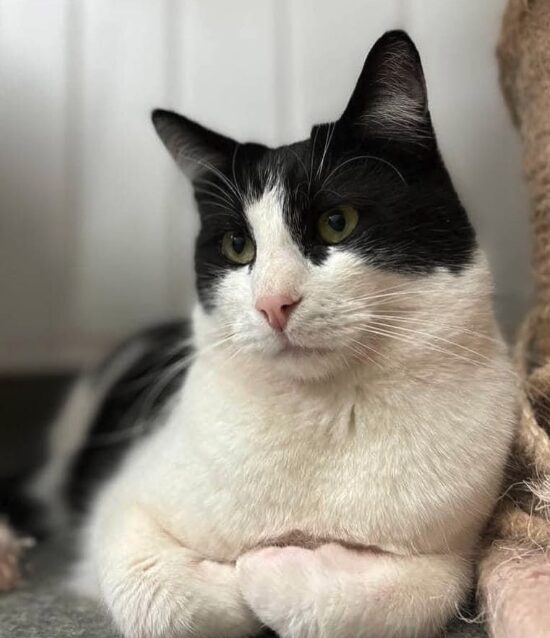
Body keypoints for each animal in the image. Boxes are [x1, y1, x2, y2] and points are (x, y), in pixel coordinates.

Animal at [10, 28, 520, 638]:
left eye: (337, 223)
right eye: (238, 246)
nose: (274, 303)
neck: (324, 415)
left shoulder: (452, 550)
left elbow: (412, 594)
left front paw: (273, 567)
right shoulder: (123, 503)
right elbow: (155, 597)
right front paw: (237, 579)